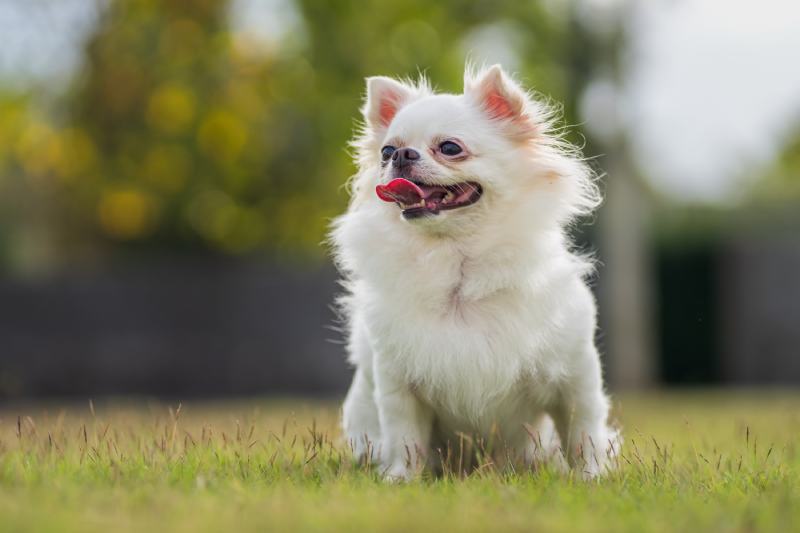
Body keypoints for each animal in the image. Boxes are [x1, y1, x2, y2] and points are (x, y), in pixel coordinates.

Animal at [332, 64, 620, 480]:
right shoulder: (399, 385)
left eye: (450, 148)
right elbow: (405, 437)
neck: (458, 264)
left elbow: (583, 432)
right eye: (386, 151)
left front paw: (591, 478)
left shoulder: (574, 377)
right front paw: (400, 479)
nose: (399, 154)